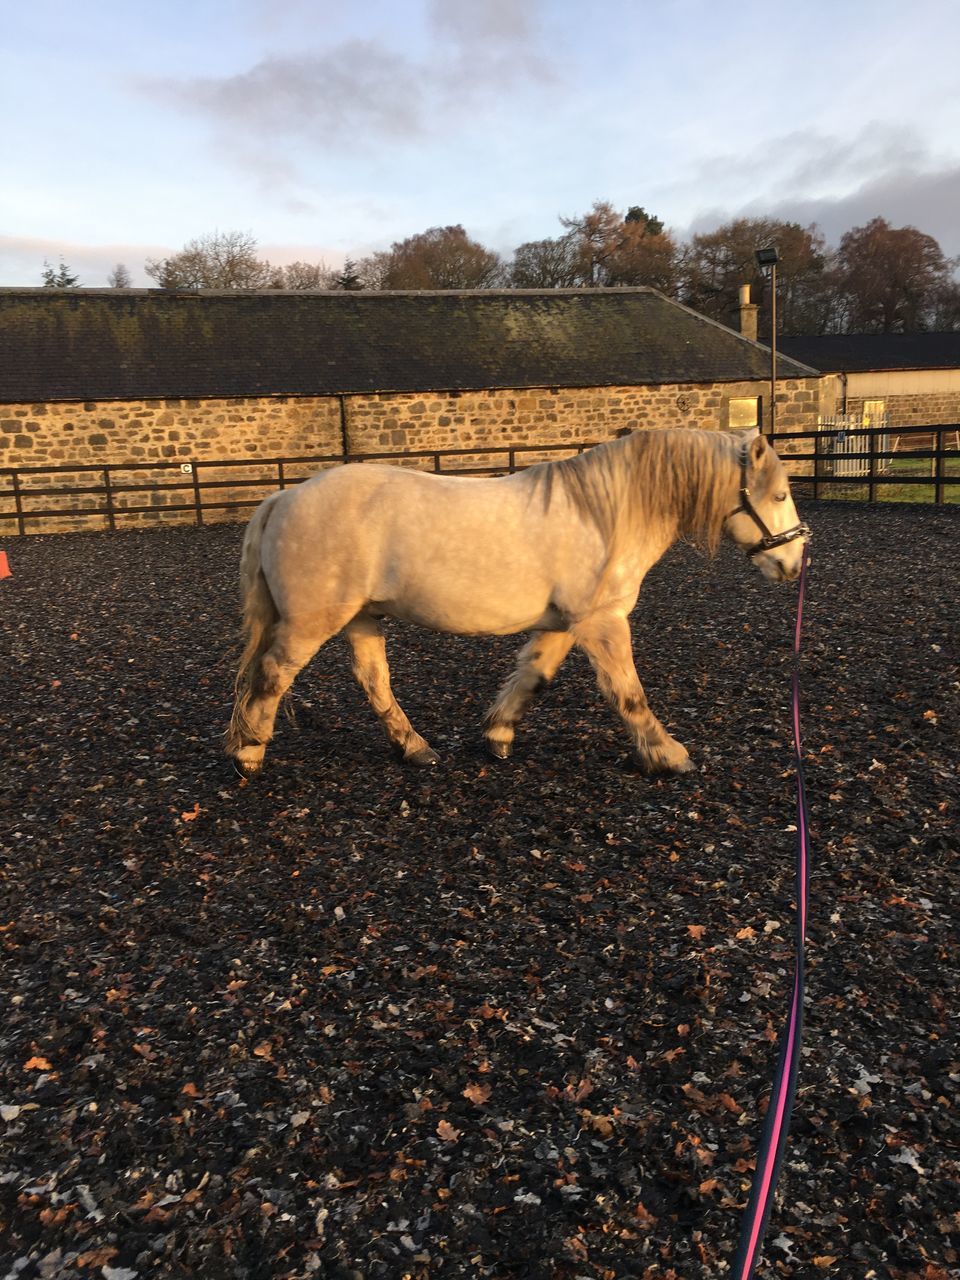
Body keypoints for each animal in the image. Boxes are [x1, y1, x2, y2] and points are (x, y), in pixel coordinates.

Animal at [225, 427, 814, 778]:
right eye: (780, 494)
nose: (794, 563)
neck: (604, 514)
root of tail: (283, 497)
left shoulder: (565, 623)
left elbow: (534, 676)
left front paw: (497, 735)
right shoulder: (602, 622)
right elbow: (628, 693)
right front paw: (667, 754)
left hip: (362, 618)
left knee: (373, 681)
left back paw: (413, 747)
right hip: (313, 620)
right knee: (273, 674)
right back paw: (249, 754)